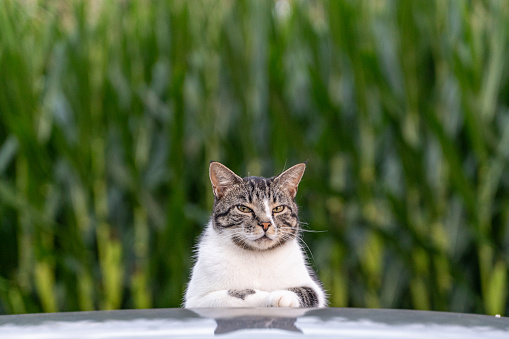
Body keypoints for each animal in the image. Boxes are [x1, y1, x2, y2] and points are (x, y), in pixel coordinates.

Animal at [183, 162, 326, 308]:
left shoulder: (315, 289)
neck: (258, 256)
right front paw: (267, 296)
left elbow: (305, 292)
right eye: (243, 208)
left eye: (278, 208)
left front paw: (282, 296)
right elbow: (240, 293)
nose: (265, 224)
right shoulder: (196, 299)